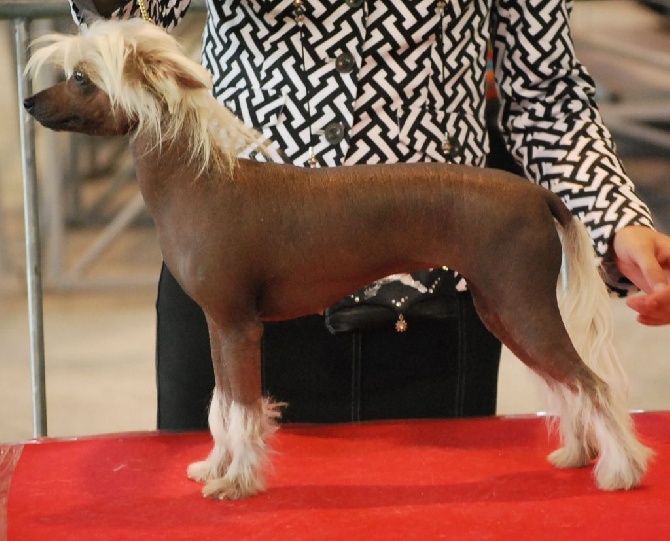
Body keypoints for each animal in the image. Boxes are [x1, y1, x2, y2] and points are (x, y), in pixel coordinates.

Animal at [23, 17, 652, 498]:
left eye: (80, 78)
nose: (28, 101)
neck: (199, 181)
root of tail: (536, 193)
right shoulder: (217, 325)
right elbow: (221, 406)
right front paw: (216, 467)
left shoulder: (237, 326)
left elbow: (241, 407)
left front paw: (238, 482)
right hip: (501, 309)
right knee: (570, 385)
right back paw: (577, 454)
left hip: (521, 303)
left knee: (591, 383)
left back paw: (620, 471)